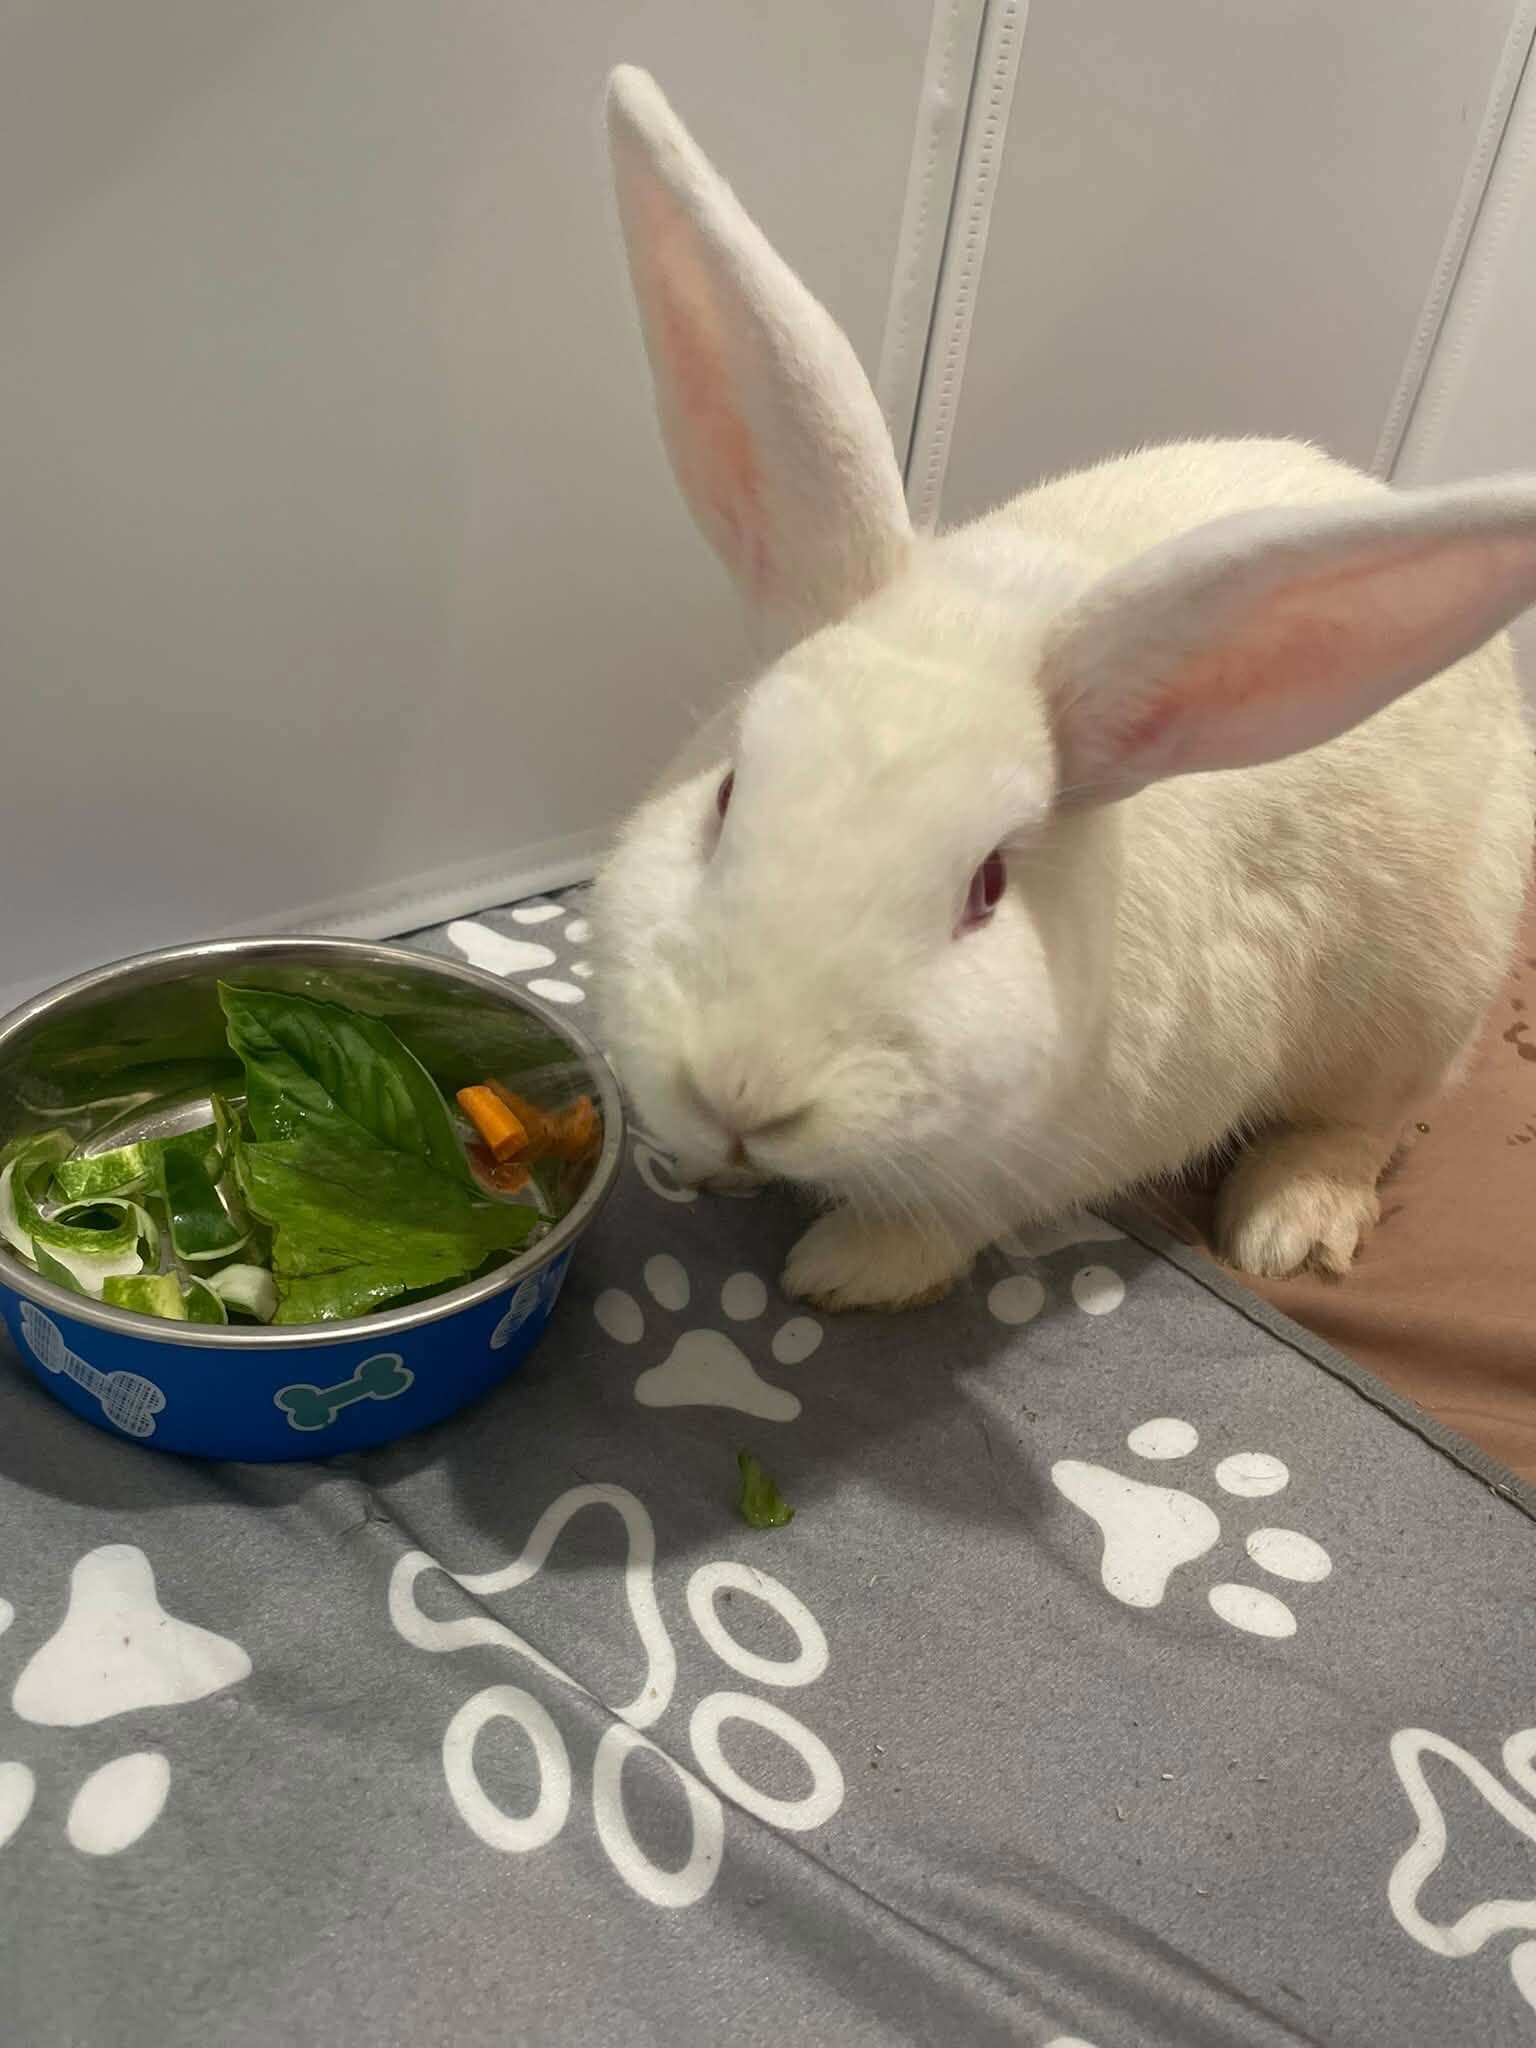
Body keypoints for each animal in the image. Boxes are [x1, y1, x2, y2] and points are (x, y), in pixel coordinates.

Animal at [592, 65, 1536, 1313]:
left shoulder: (1073, 1145)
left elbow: (949, 1216)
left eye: (989, 887)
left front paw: (842, 1271)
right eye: (727, 795)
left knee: (1363, 1123)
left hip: (1425, 1003)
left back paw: (1289, 1224)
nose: (743, 1090)